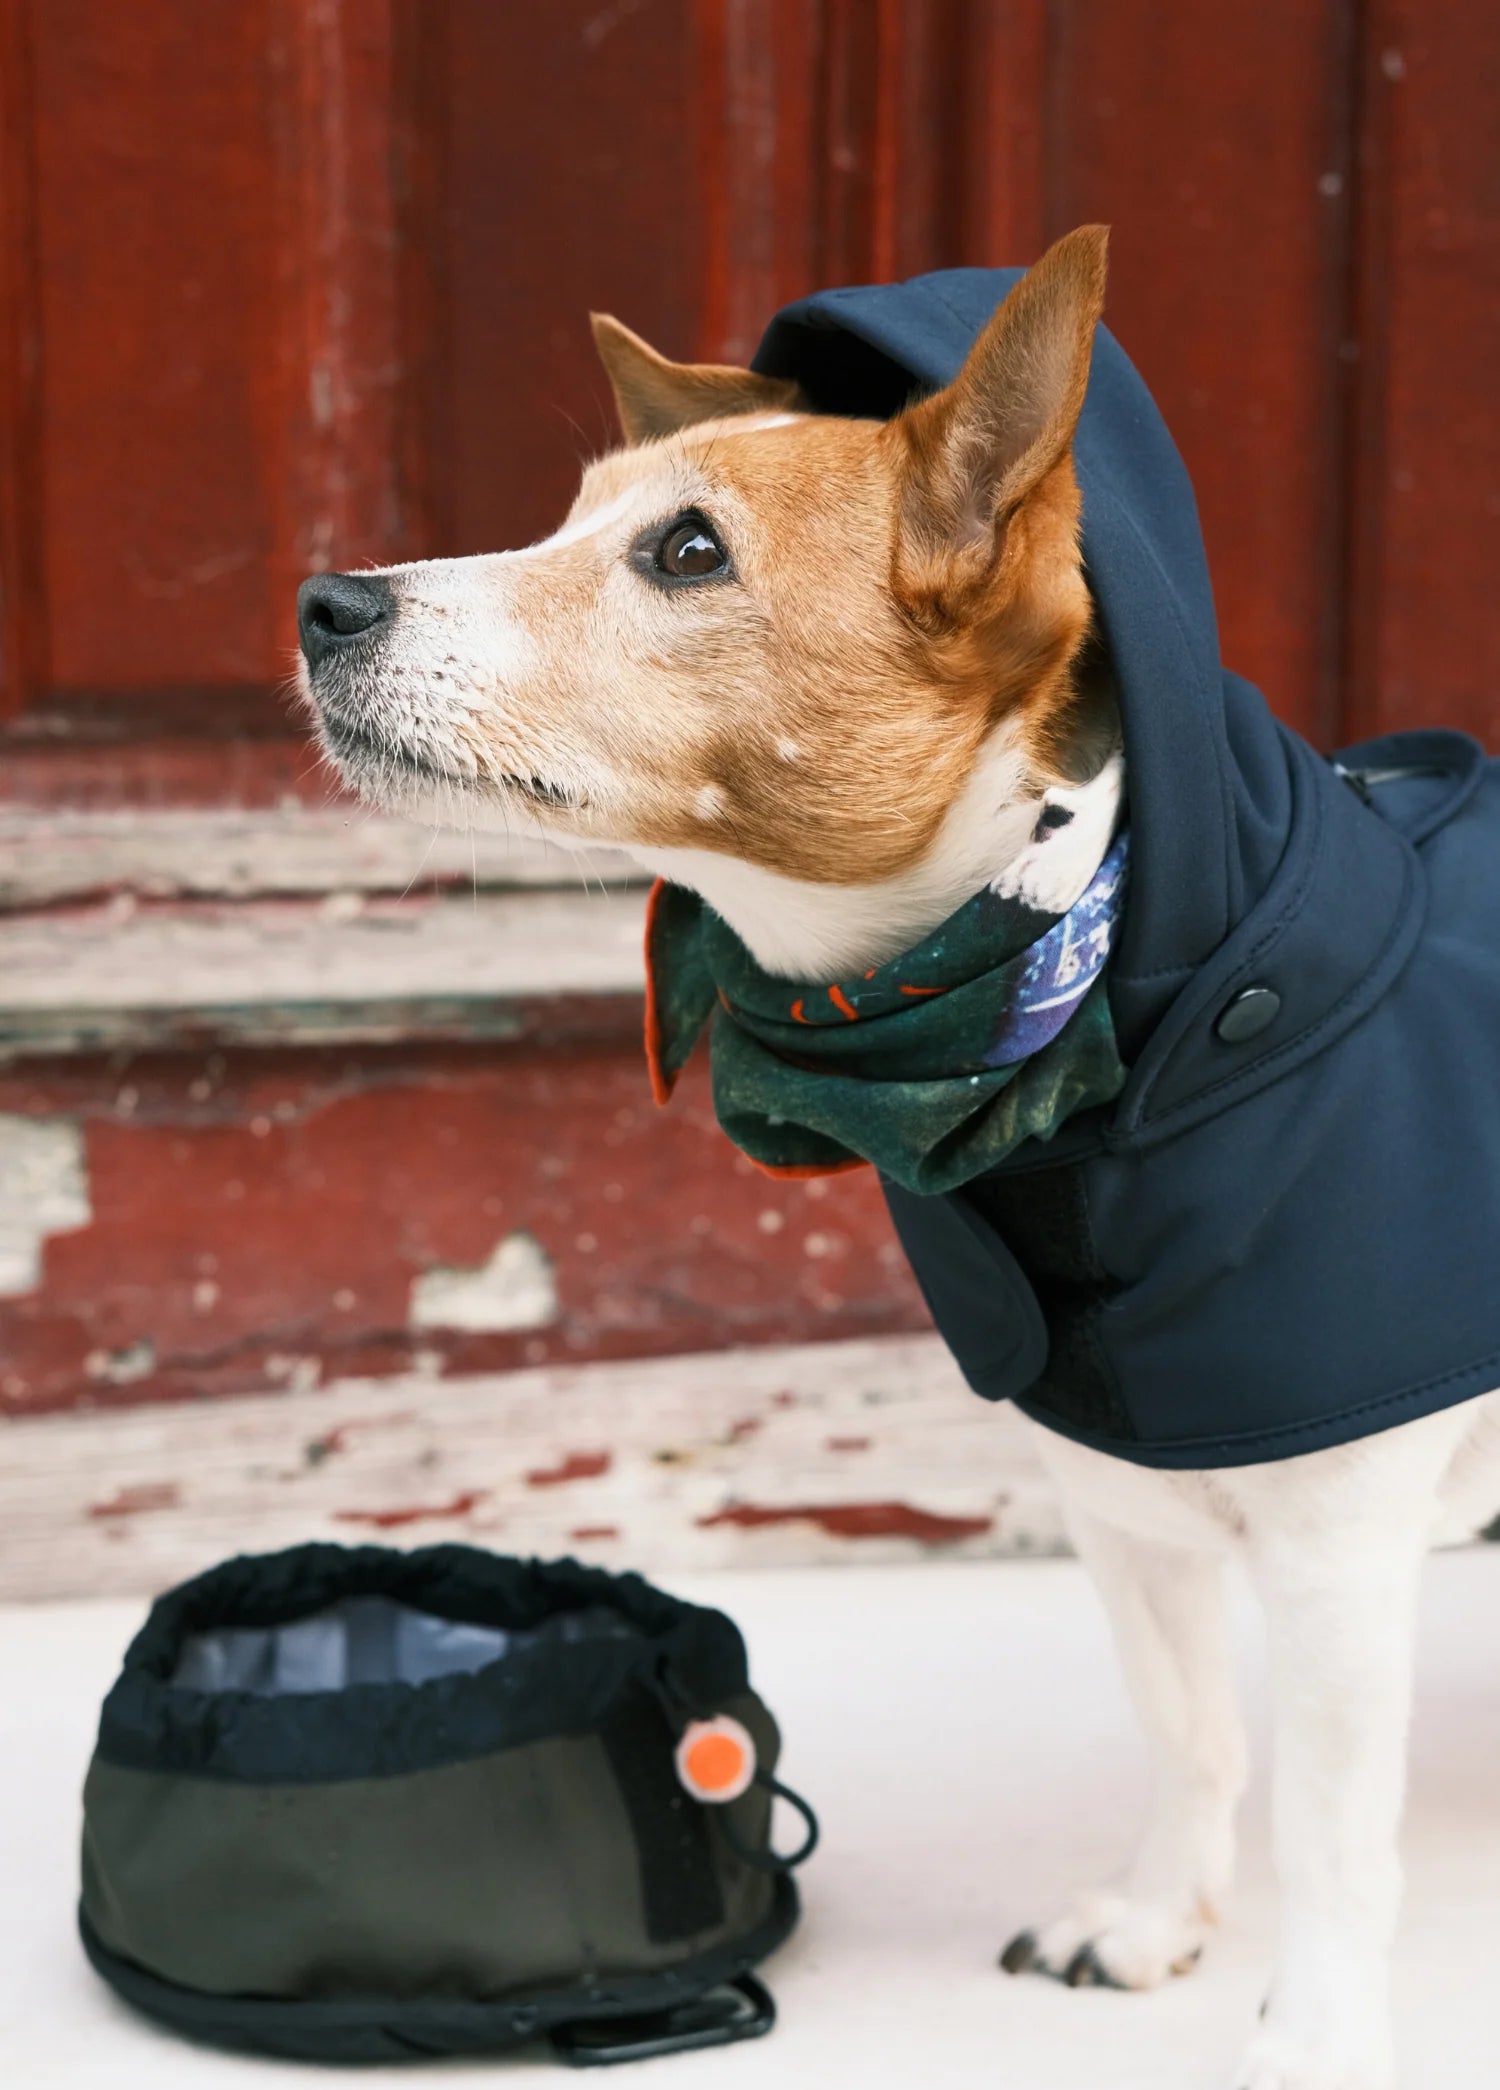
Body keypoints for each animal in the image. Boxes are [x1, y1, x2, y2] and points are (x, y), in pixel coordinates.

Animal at [298, 220, 1500, 2081]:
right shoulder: (1124, 1494)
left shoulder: (1340, 1548)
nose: (326, 602)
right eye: (574, 516)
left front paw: (1316, 2034)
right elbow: (1189, 1730)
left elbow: (1330, 1832)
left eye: (689, 550)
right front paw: (1154, 1916)